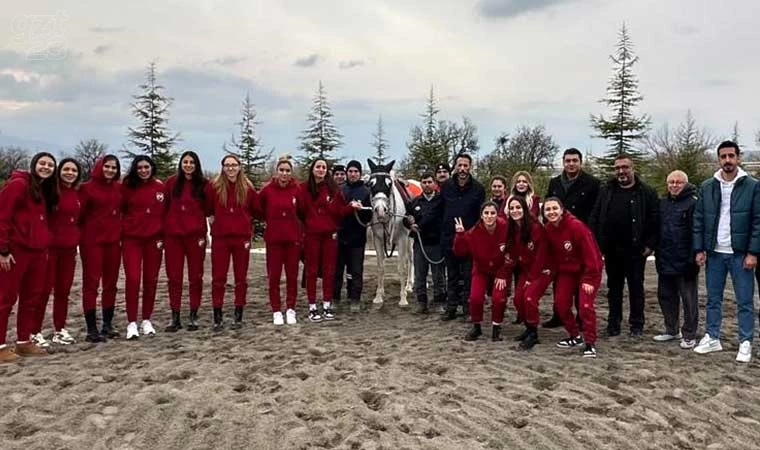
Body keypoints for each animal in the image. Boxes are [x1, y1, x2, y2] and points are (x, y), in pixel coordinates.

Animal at [366, 158, 412, 306]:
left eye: (389, 183)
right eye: (370, 183)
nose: (381, 209)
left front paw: (403, 298)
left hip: (411, 239)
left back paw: (409, 286)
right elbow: (380, 268)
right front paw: (379, 296)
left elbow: (401, 268)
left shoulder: (402, 239)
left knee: (411, 259)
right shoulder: (378, 239)